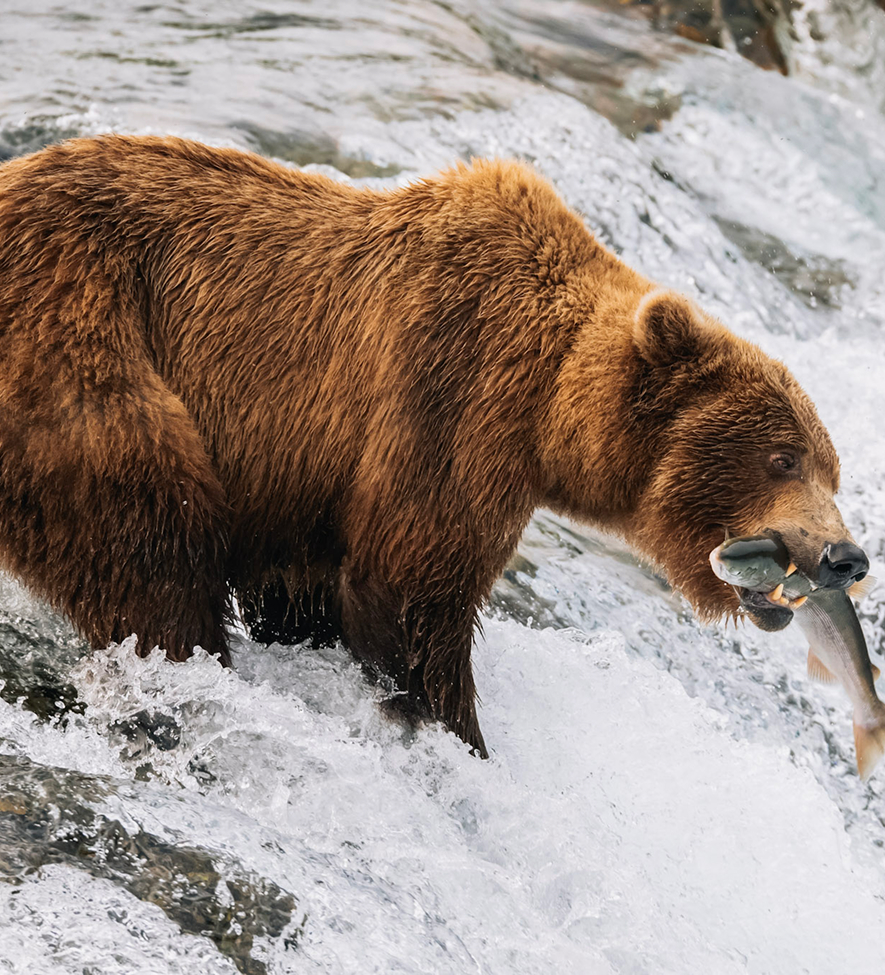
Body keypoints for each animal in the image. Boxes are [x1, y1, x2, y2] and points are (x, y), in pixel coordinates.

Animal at [0, 135, 868, 757]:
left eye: (831, 466)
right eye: (783, 456)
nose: (844, 557)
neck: (548, 403)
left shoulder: (305, 480)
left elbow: (308, 588)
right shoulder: (449, 394)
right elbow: (412, 586)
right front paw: (456, 731)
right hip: (79, 341)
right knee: (150, 535)